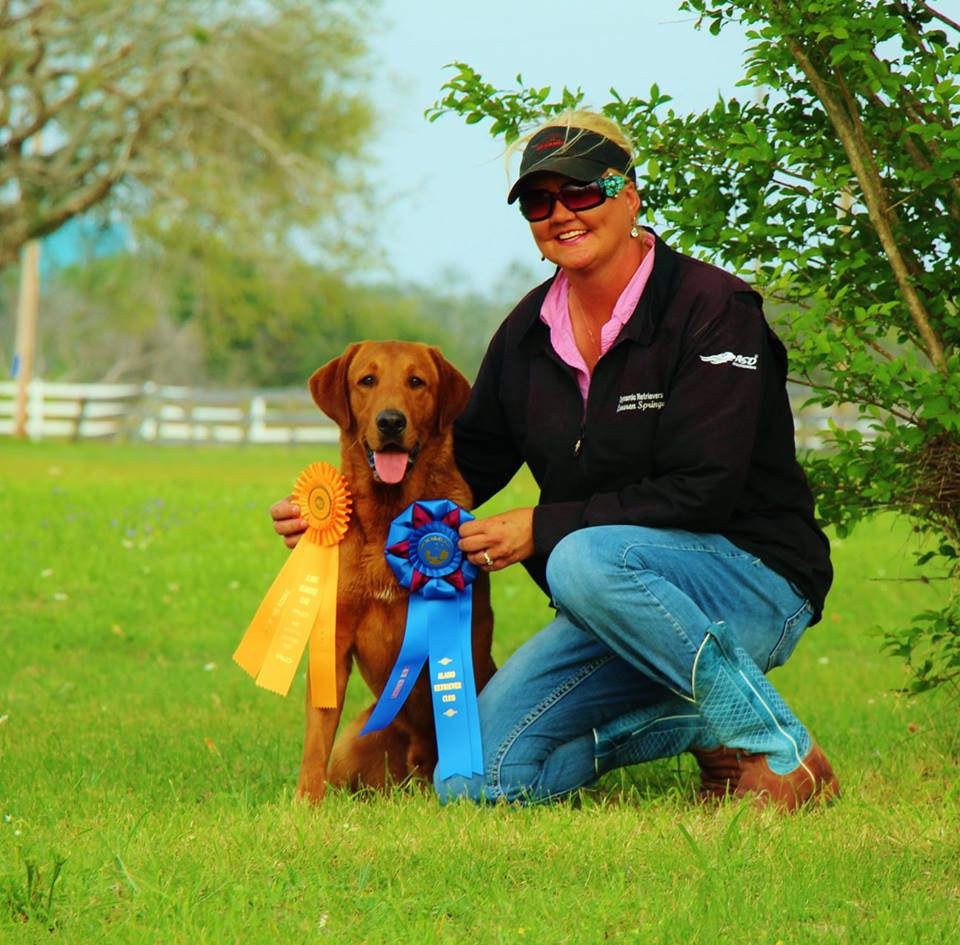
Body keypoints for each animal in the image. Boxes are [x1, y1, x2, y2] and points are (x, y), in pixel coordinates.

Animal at [298, 342, 496, 800]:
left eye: (416, 381)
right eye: (367, 380)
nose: (391, 421)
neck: (390, 516)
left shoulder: (472, 631)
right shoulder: (333, 639)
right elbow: (316, 741)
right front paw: (305, 804)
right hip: (355, 744)